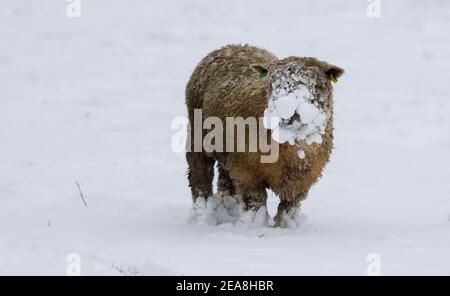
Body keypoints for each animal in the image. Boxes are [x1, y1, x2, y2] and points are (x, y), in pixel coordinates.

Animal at [185, 44, 342, 228]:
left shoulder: (304, 181)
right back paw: (201, 214)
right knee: (200, 176)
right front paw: (256, 225)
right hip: (197, 138)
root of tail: (231, 46)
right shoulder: (247, 173)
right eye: (271, 84)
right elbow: (254, 202)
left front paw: (286, 225)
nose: (287, 114)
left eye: (317, 86)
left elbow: (290, 206)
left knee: (225, 178)